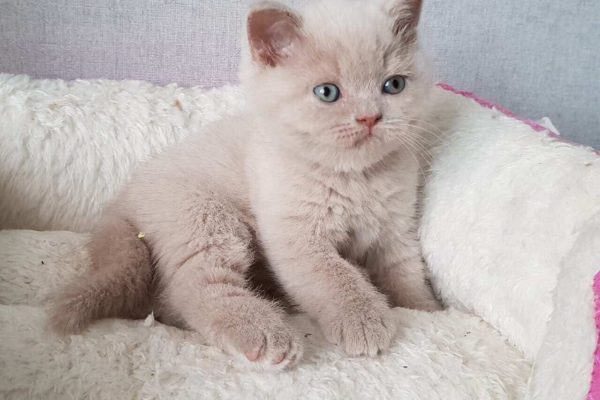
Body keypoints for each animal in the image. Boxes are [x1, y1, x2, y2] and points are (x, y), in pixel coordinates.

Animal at [49, 0, 438, 372]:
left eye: (394, 85)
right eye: (327, 92)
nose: (370, 118)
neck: (356, 178)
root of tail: (122, 200)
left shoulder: (396, 230)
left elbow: (406, 273)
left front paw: (426, 309)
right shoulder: (296, 235)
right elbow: (333, 274)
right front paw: (364, 318)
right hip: (204, 217)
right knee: (191, 288)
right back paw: (265, 334)